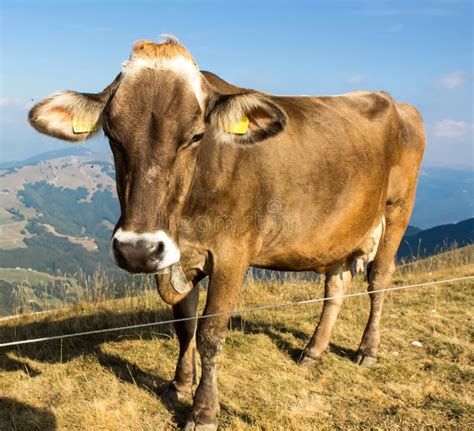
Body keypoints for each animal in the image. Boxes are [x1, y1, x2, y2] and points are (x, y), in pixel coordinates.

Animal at [28, 38, 426, 431]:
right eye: (112, 135)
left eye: (196, 135)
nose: (137, 251)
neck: (188, 217)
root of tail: (393, 101)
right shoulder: (177, 255)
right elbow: (184, 326)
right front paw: (180, 384)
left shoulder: (232, 255)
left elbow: (211, 332)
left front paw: (203, 411)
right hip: (341, 231)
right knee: (336, 286)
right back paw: (314, 351)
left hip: (398, 208)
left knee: (379, 279)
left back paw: (367, 350)